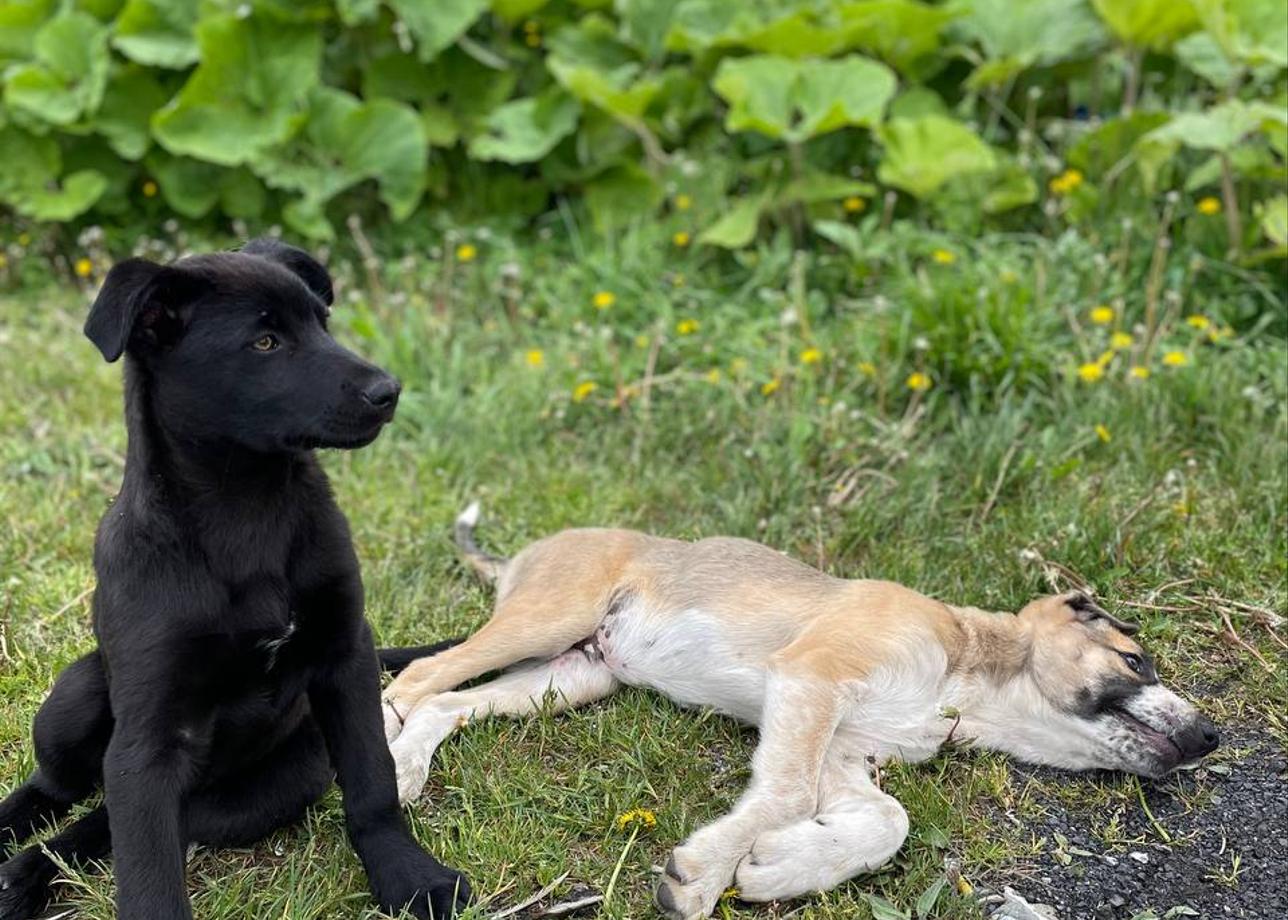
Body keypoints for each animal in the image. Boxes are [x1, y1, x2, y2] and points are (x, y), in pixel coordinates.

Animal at [0, 239, 473, 912]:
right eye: (265, 342)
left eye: (323, 323)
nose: (389, 391)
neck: (247, 507)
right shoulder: (149, 736)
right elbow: (147, 868)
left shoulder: (345, 653)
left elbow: (372, 783)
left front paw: (408, 875)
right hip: (75, 696)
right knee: (58, 789)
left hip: (275, 781)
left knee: (110, 821)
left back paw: (27, 870)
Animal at [378, 505, 1215, 912]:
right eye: (1134, 661)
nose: (1211, 735)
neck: (966, 678)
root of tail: (521, 555)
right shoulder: (811, 678)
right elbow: (782, 792)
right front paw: (705, 875)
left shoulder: (847, 753)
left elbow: (887, 822)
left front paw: (785, 867)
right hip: (549, 620)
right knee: (411, 680)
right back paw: (384, 765)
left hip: (573, 673)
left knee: (443, 702)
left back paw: (410, 765)